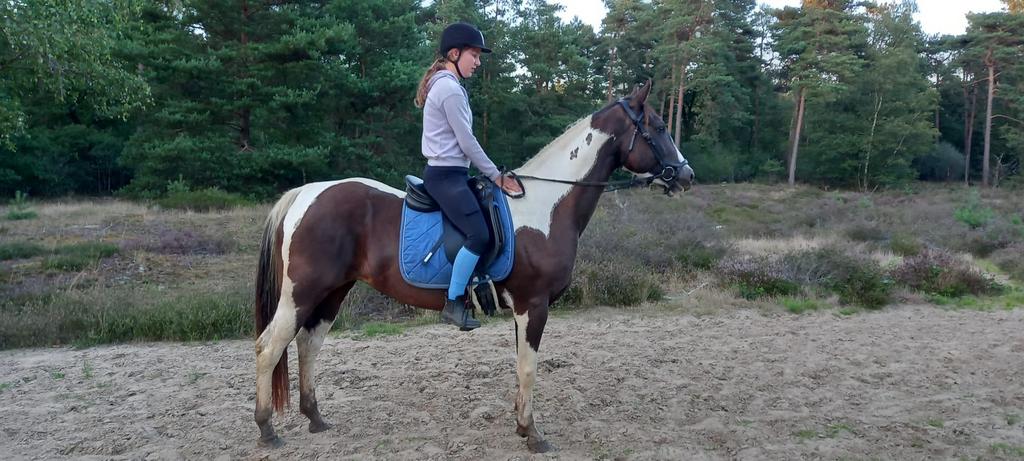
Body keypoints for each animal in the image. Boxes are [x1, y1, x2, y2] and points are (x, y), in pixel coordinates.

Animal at [252, 80, 694, 453]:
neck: (546, 206)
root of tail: (306, 193)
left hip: (333, 292)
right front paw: (533, 435)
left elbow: (520, 367)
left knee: (308, 344)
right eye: (658, 127)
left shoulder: (522, 309)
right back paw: (267, 429)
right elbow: (529, 369)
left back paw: (316, 418)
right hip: (302, 293)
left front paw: (520, 425)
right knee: (269, 347)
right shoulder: (533, 305)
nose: (686, 175)